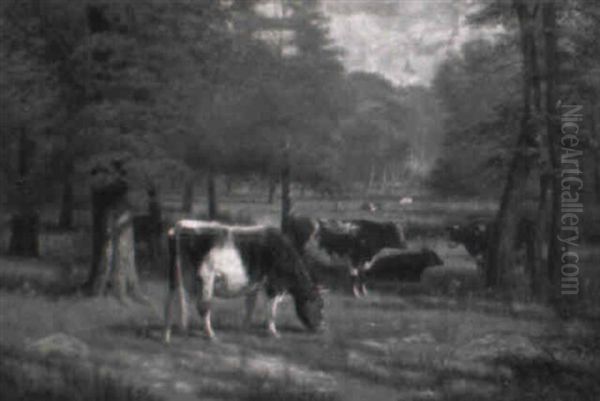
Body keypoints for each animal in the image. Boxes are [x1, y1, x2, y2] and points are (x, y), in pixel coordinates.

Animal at [164, 219, 324, 340]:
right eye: (319, 305)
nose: (319, 328)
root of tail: (181, 225)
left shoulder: (254, 284)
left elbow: (250, 306)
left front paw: (245, 328)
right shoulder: (274, 284)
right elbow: (271, 310)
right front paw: (273, 332)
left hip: (177, 276)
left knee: (174, 301)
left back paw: (172, 332)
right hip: (206, 277)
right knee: (203, 306)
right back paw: (209, 334)